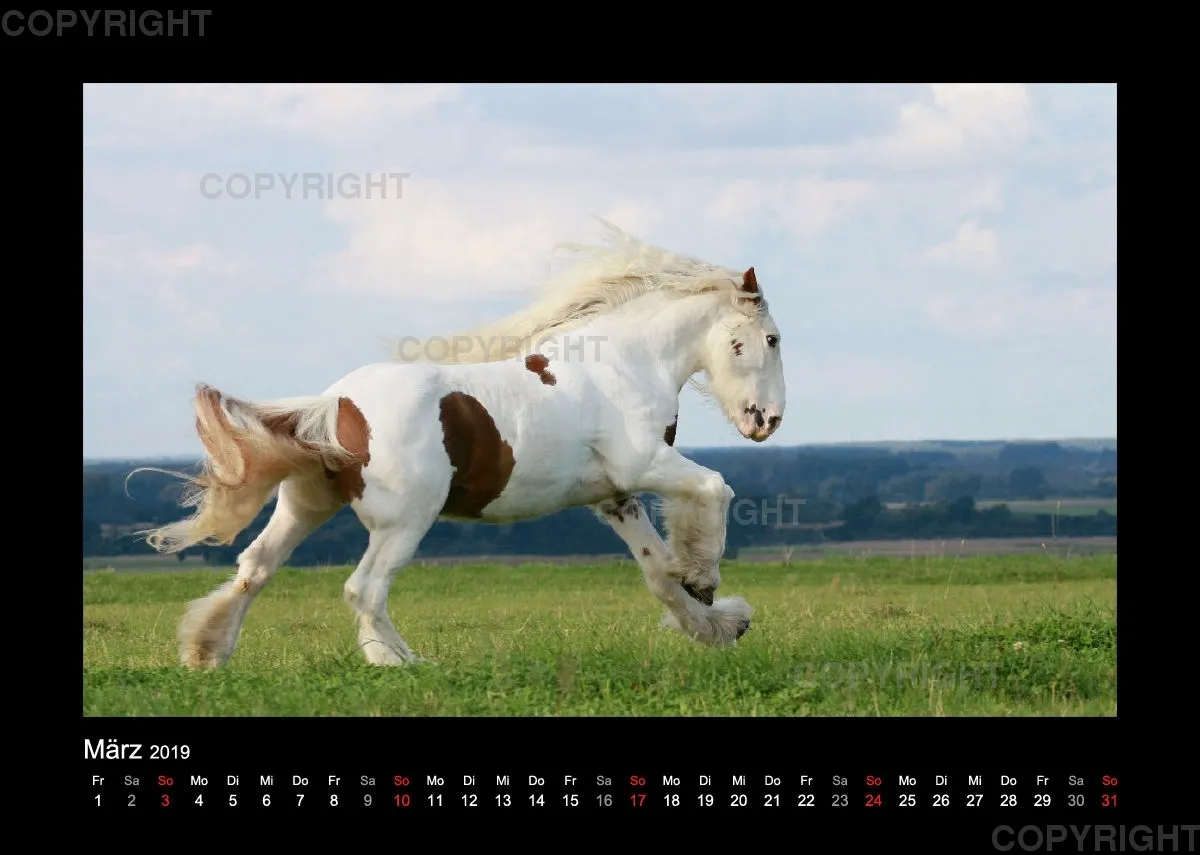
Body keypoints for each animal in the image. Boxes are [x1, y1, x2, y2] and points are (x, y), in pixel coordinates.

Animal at [136, 220, 787, 670]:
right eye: (772, 339)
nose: (768, 421)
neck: (623, 363)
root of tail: (335, 405)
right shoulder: (645, 463)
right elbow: (716, 488)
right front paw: (706, 580)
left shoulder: (615, 498)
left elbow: (657, 574)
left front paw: (719, 625)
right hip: (404, 522)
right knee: (363, 589)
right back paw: (404, 664)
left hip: (305, 506)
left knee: (255, 568)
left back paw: (207, 654)